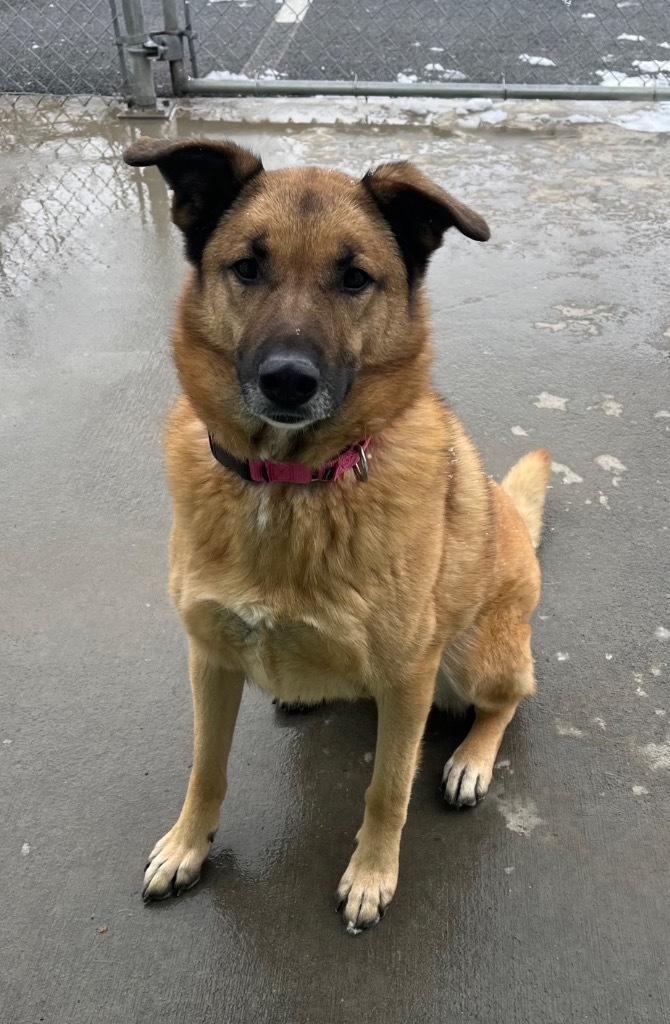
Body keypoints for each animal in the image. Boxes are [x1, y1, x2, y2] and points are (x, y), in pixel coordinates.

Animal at [124, 138, 553, 937]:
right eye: (247, 267)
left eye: (355, 278)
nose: (288, 380)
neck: (290, 485)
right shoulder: (210, 658)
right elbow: (206, 767)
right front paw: (187, 845)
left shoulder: (410, 680)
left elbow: (388, 790)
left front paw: (371, 875)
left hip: (478, 654)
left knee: (509, 699)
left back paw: (472, 758)